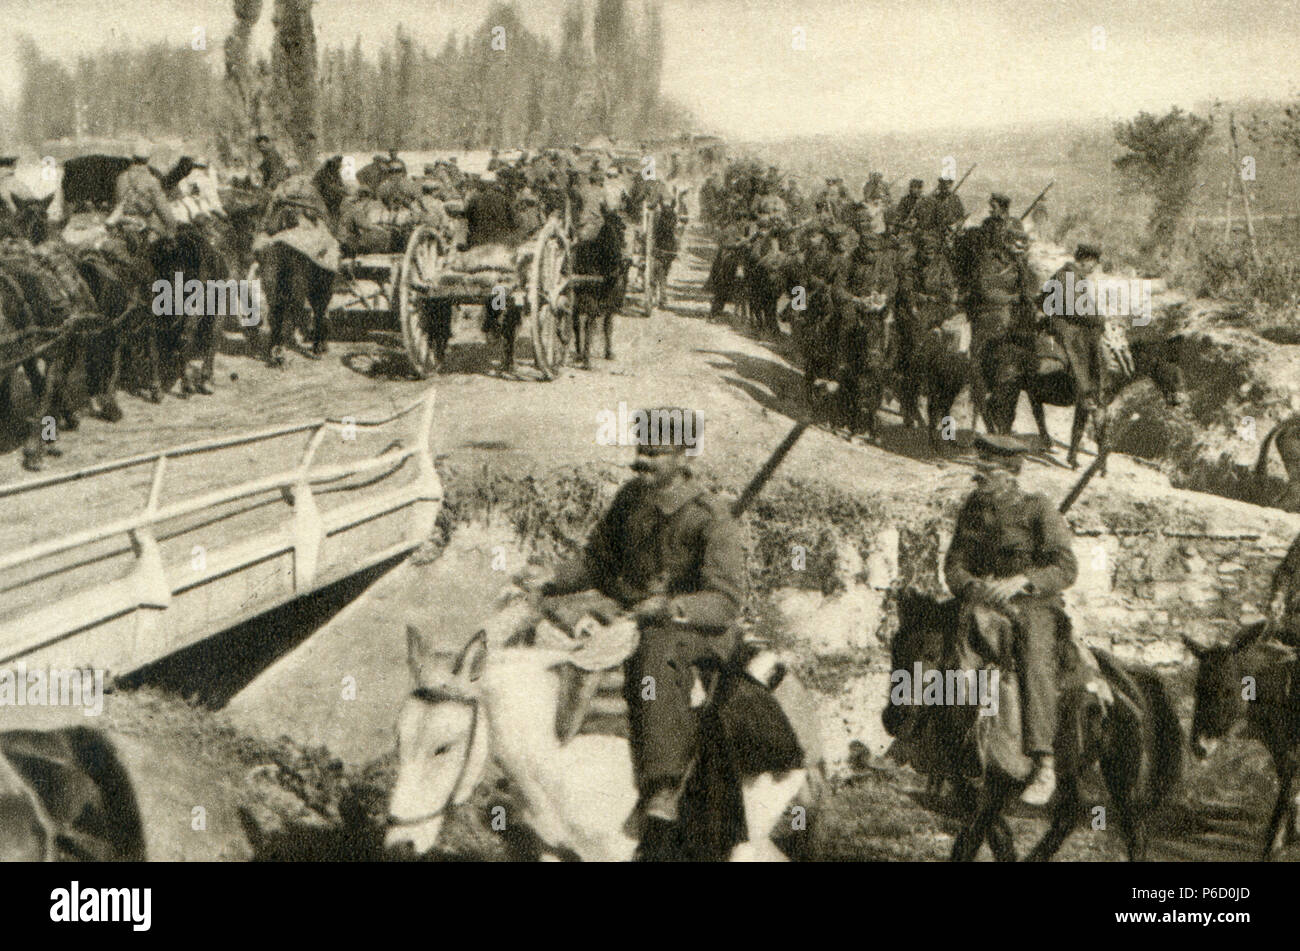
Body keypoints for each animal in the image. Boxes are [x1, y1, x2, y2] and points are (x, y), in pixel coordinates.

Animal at [889, 587, 1185, 862]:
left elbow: (970, 838)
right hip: (1071, 765)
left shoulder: (998, 783)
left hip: (1122, 773)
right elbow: (997, 835)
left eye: (932, 653)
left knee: (1135, 831)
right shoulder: (963, 782)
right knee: (1068, 815)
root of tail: (1130, 678)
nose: (894, 717)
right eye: (895, 647)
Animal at [982, 329, 1190, 472]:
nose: (1179, 400)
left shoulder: (1097, 406)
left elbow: (1095, 432)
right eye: (1171, 366)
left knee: (994, 408)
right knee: (998, 409)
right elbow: (1080, 431)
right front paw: (1076, 462)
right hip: (1009, 386)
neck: (1109, 367)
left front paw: (1095, 465)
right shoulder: (1087, 403)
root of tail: (993, 342)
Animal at [1190, 628, 1300, 857]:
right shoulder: (1283, 749)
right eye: (1197, 688)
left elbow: (1286, 794)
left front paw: (1272, 846)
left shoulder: (1288, 751)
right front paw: (1286, 837)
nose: (1199, 746)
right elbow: (1289, 792)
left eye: (1227, 690)